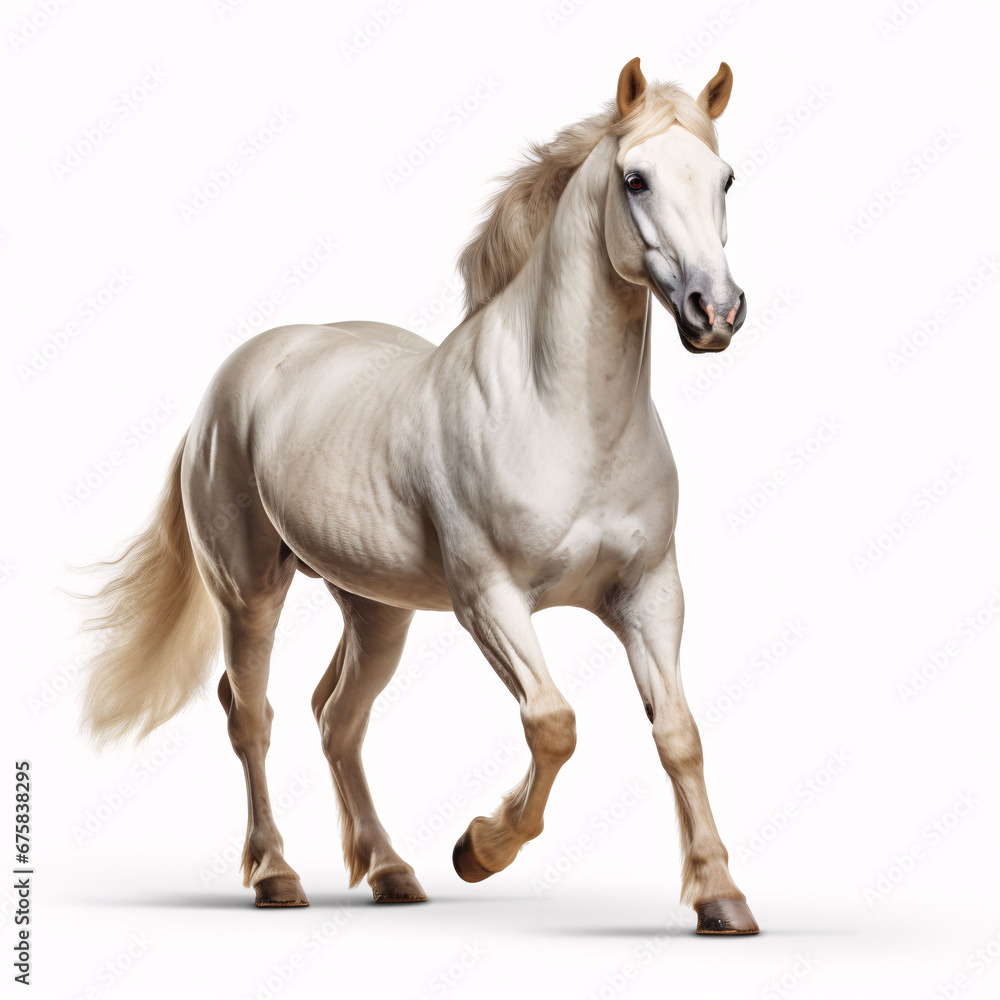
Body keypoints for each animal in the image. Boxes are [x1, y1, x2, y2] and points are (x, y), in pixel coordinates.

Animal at [81, 57, 759, 934]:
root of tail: (232, 383)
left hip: (376, 609)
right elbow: (553, 724)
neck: (565, 419)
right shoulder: (489, 597)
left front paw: (720, 897)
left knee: (336, 717)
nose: (717, 312)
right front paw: (478, 849)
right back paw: (277, 876)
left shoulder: (650, 593)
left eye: (725, 178)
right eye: (635, 179)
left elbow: (678, 734)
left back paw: (391, 870)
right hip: (248, 591)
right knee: (251, 715)